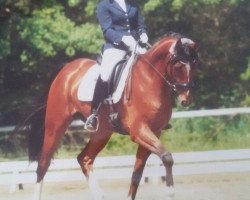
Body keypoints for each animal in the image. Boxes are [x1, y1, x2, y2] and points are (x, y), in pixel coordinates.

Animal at [27, 33, 199, 200]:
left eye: (194, 63)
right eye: (178, 64)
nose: (186, 100)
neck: (149, 80)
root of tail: (67, 69)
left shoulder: (154, 132)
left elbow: (137, 174)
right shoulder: (139, 131)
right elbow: (167, 157)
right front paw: (170, 192)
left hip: (102, 131)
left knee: (84, 158)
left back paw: (99, 195)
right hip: (56, 125)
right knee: (43, 164)